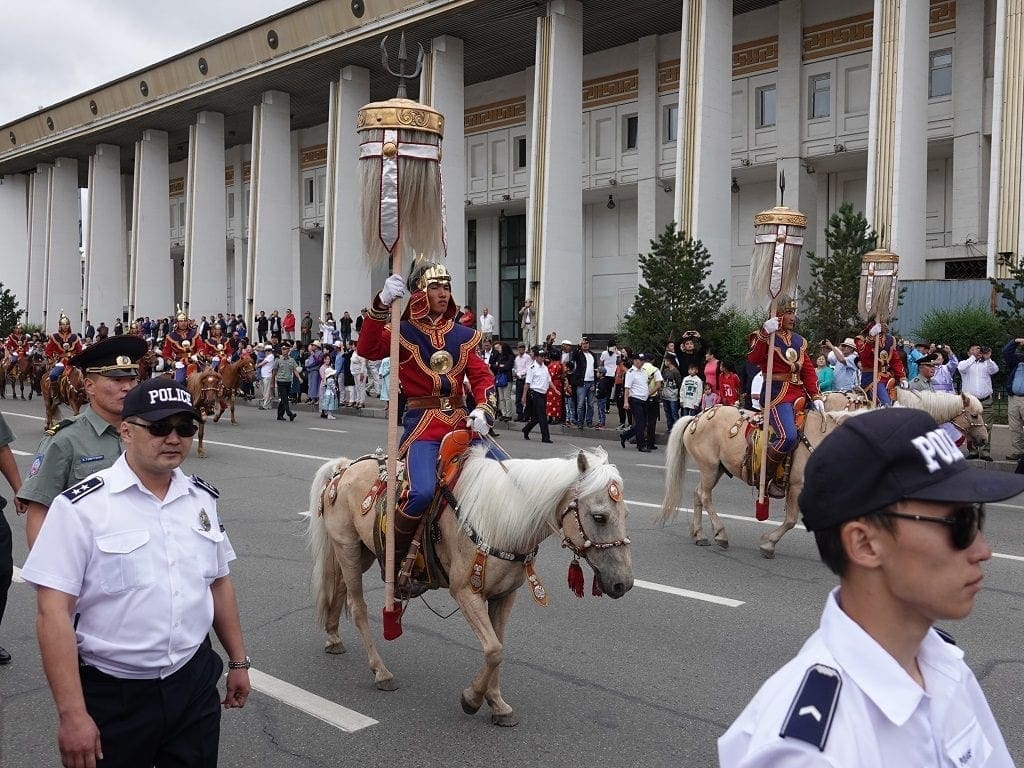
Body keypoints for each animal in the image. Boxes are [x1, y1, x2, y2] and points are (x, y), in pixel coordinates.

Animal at [307, 448, 634, 724]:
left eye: (625, 515)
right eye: (599, 516)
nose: (624, 583)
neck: (500, 519)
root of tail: (344, 468)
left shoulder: (505, 596)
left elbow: (499, 647)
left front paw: (497, 704)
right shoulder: (466, 593)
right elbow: (493, 650)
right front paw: (472, 698)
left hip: (361, 552)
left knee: (339, 590)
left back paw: (334, 638)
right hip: (348, 547)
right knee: (358, 607)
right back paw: (381, 672)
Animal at [655, 409, 856, 561]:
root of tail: (698, 416)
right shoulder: (796, 487)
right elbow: (791, 520)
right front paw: (769, 543)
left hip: (716, 469)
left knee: (698, 493)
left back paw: (700, 534)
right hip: (709, 467)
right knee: (705, 496)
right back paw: (720, 534)